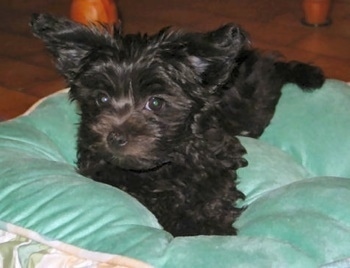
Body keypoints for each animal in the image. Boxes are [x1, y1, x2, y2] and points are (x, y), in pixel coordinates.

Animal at [30, 14, 326, 237]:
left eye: (156, 102)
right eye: (101, 98)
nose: (115, 137)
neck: (165, 163)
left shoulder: (217, 152)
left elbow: (213, 189)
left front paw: (210, 225)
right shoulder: (100, 167)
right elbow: (144, 194)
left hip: (247, 110)